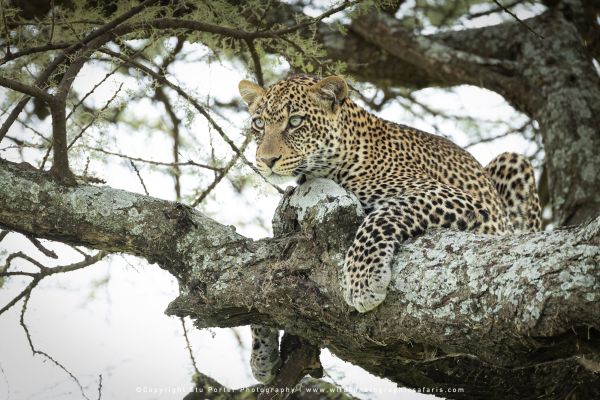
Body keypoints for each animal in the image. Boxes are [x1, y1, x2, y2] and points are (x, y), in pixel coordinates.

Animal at [237, 73, 540, 382]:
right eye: (259, 123)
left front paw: (362, 280)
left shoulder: (462, 200)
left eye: (296, 121)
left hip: (514, 162)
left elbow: (384, 213)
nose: (266, 160)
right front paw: (262, 353)